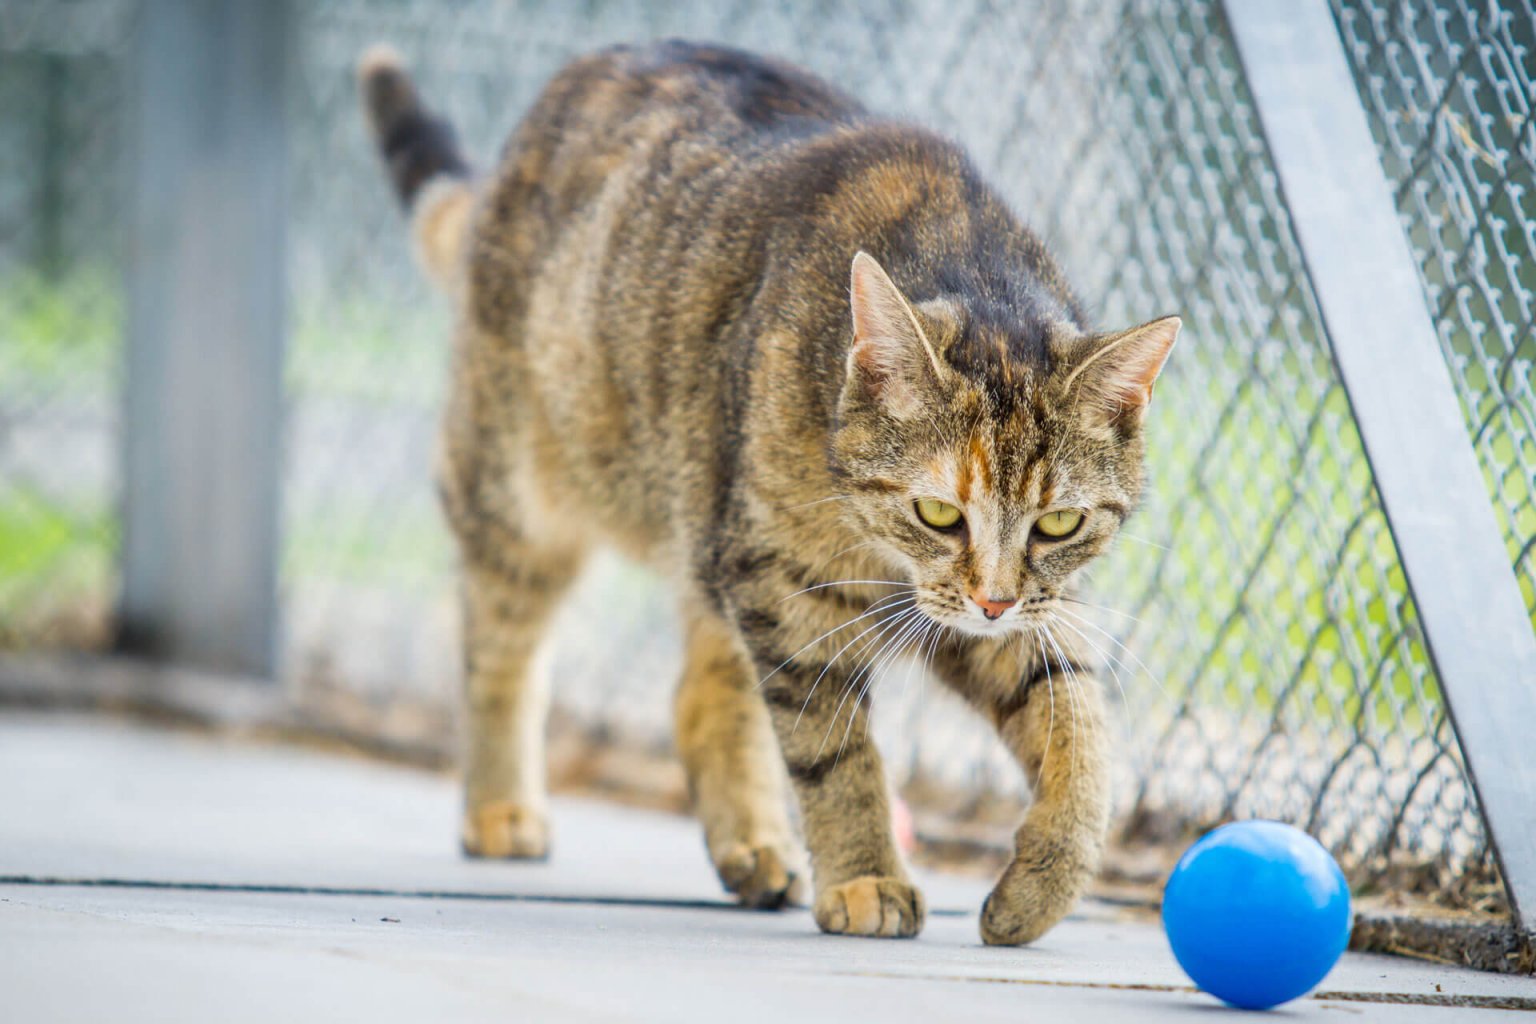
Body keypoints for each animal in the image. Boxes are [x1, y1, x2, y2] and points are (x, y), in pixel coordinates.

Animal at [359, 44, 1173, 951]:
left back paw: (753, 844)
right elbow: (837, 751)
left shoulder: (992, 613)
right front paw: (864, 877)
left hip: (710, 529)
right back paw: (501, 808)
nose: (993, 601)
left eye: (1059, 522)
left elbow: (1078, 728)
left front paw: (1042, 883)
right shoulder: (793, 592)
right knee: (497, 651)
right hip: (526, 502)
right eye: (938, 512)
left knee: (700, 693)